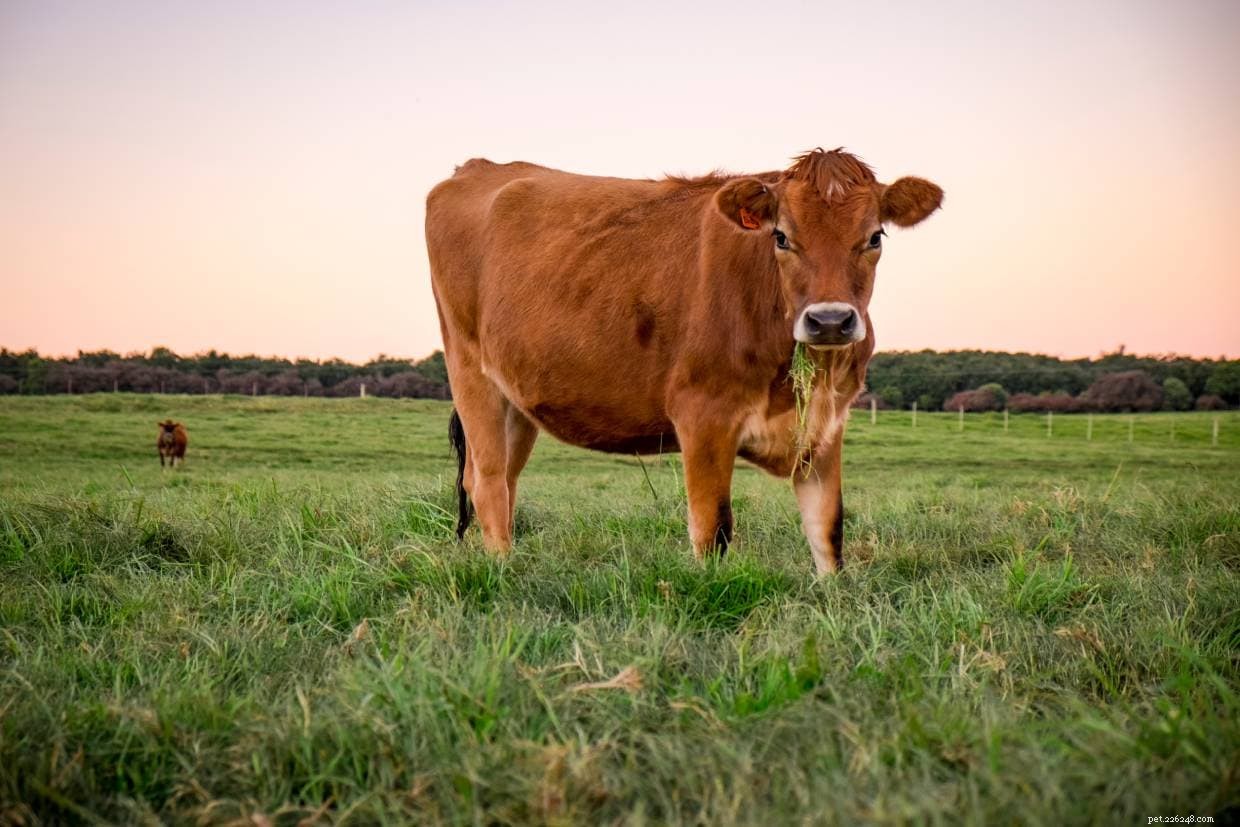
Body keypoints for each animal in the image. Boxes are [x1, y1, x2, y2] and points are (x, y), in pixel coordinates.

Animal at [426, 148, 941, 573]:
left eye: (875, 237)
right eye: (781, 237)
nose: (830, 320)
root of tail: (478, 167)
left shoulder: (825, 424)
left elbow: (828, 532)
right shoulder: (703, 416)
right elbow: (713, 530)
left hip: (516, 398)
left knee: (500, 479)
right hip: (470, 371)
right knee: (488, 481)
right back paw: (502, 571)